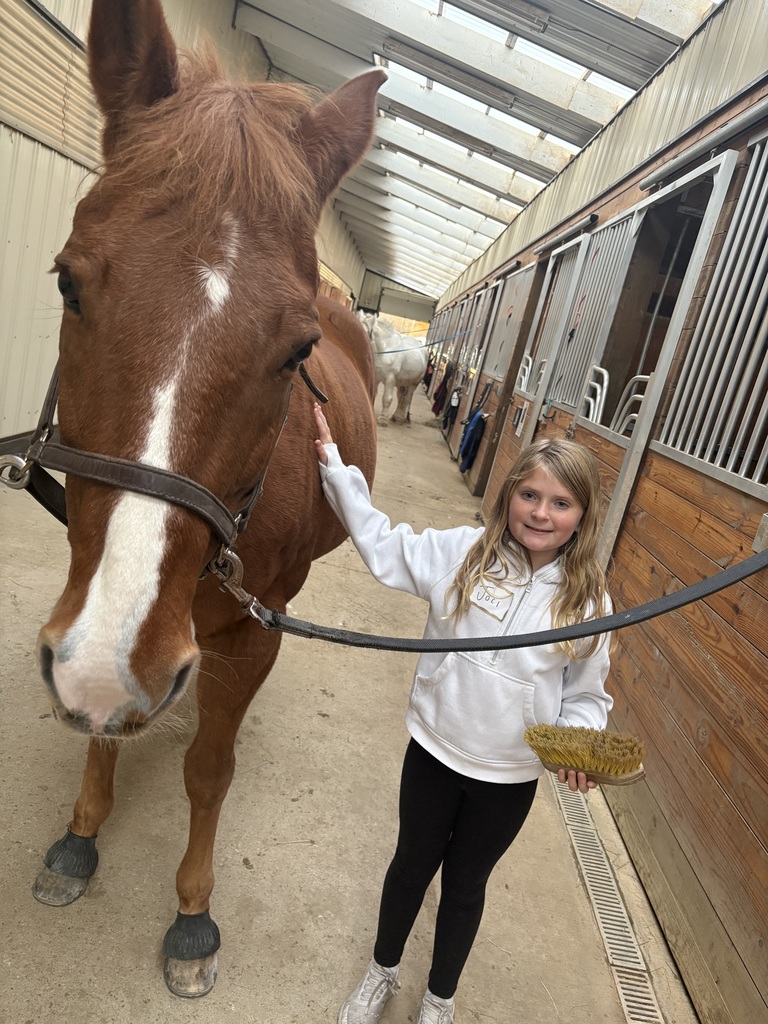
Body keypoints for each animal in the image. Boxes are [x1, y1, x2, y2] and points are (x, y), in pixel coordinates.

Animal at [25, 0, 385, 999]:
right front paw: (79, 835)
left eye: (299, 351)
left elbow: (209, 768)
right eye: (67, 282)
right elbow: (102, 727)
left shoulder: (250, 631)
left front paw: (192, 914)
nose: (114, 666)